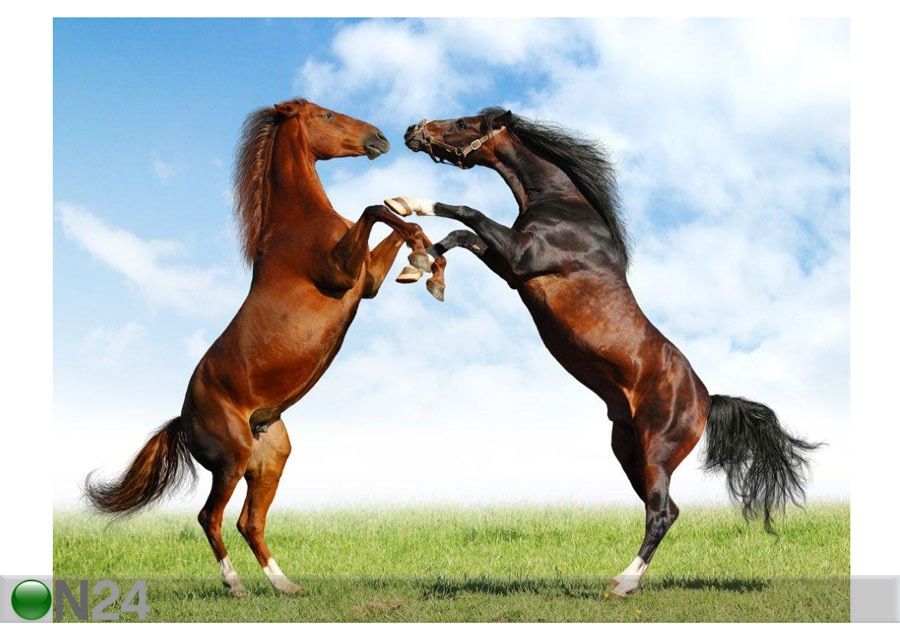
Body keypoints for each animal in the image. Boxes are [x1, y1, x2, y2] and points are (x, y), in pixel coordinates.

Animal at [85, 98, 447, 597]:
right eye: (326, 115)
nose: (380, 138)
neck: (297, 222)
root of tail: (184, 418)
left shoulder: (367, 281)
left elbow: (391, 221)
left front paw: (422, 255)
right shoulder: (342, 273)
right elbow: (374, 210)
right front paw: (421, 257)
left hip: (270, 461)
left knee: (249, 522)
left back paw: (284, 585)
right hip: (231, 460)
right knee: (210, 517)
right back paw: (234, 584)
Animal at [386, 108, 820, 597]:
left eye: (464, 123)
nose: (412, 131)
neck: (563, 208)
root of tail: (707, 400)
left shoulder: (521, 258)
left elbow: (465, 213)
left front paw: (406, 204)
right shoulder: (510, 268)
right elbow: (460, 236)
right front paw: (419, 267)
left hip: (657, 450)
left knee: (661, 513)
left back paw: (623, 583)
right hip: (627, 450)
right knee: (667, 509)